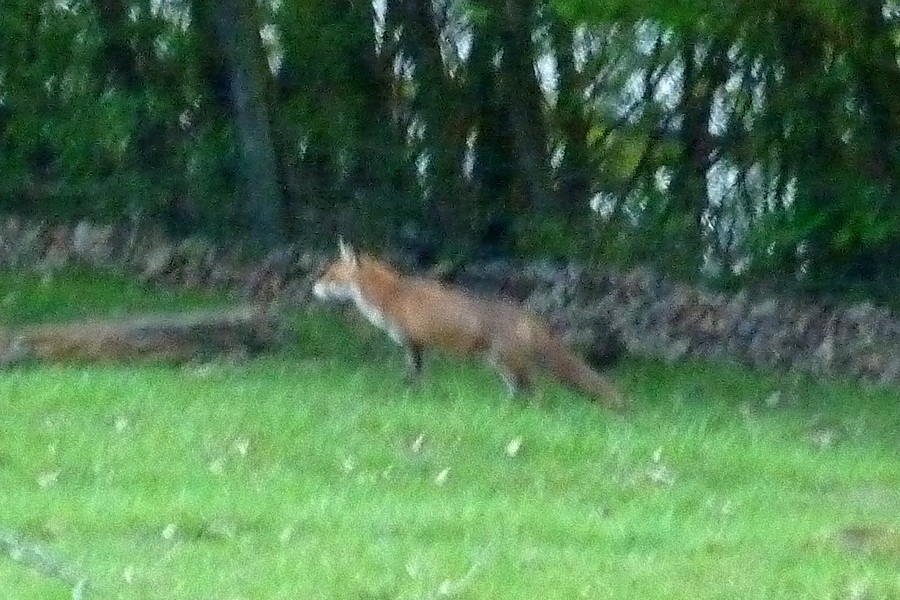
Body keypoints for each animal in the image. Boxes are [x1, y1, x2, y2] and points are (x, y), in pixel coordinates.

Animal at [312, 239, 624, 412]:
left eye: (330, 276)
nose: (313, 289)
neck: (392, 298)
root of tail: (526, 314)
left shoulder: (414, 343)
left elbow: (413, 378)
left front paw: (409, 398)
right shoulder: (418, 347)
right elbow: (417, 378)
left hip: (506, 362)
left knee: (535, 393)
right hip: (501, 365)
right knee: (519, 392)